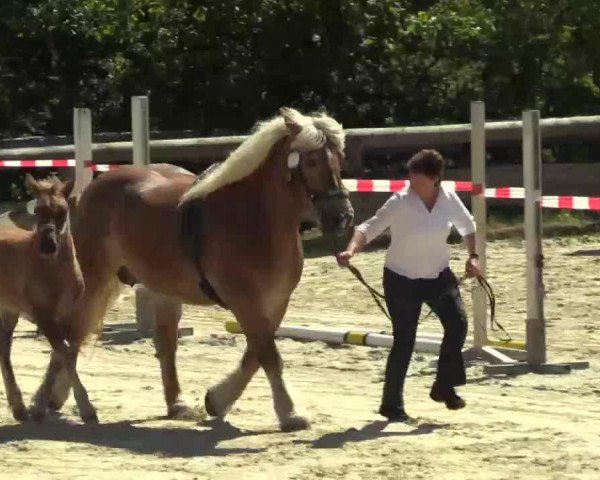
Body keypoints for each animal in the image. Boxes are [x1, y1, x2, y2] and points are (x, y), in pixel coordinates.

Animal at [0, 174, 96, 422]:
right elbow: (64, 352)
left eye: (63, 211)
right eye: (38, 210)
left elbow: (63, 353)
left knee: (4, 348)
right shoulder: (42, 315)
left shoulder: (64, 316)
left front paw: (39, 407)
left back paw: (19, 408)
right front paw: (87, 409)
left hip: (9, 310)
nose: (48, 245)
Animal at [44, 107, 354, 430]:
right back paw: (49, 400)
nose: (343, 217)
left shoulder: (276, 302)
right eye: (312, 161)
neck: (256, 218)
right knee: (70, 332)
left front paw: (217, 400)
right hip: (95, 279)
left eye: (340, 159)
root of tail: (91, 189)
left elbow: (255, 353)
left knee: (161, 342)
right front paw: (290, 412)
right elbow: (268, 354)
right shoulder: (245, 301)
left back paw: (175, 404)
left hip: (159, 289)